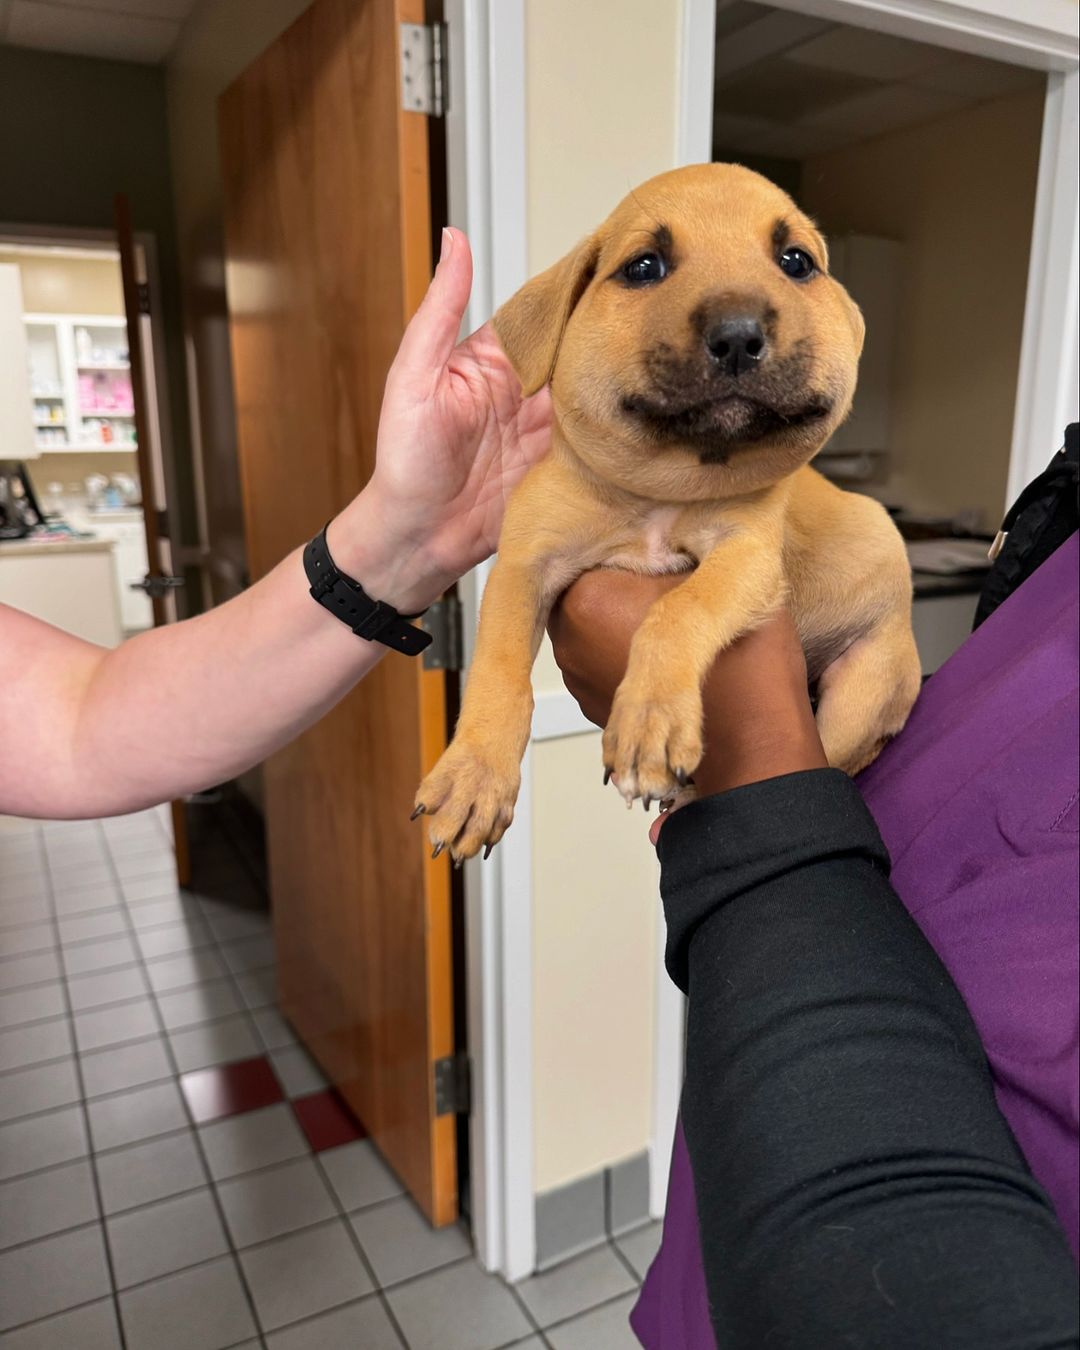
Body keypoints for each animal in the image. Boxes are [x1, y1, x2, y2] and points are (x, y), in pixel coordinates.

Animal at [413, 166, 918, 864]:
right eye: (644, 267)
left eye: (796, 262)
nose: (738, 333)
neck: (662, 491)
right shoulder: (524, 564)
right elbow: (499, 670)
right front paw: (474, 778)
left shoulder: (747, 557)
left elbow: (679, 610)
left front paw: (650, 719)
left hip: (861, 694)